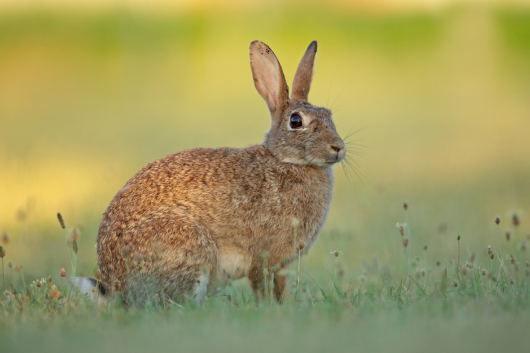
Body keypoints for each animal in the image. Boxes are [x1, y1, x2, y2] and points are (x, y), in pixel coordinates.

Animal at [89, 39, 346, 306]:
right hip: (187, 243)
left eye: (329, 115)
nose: (338, 147)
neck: (288, 160)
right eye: (296, 121)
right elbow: (264, 286)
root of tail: (115, 287)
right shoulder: (265, 256)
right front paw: (273, 308)